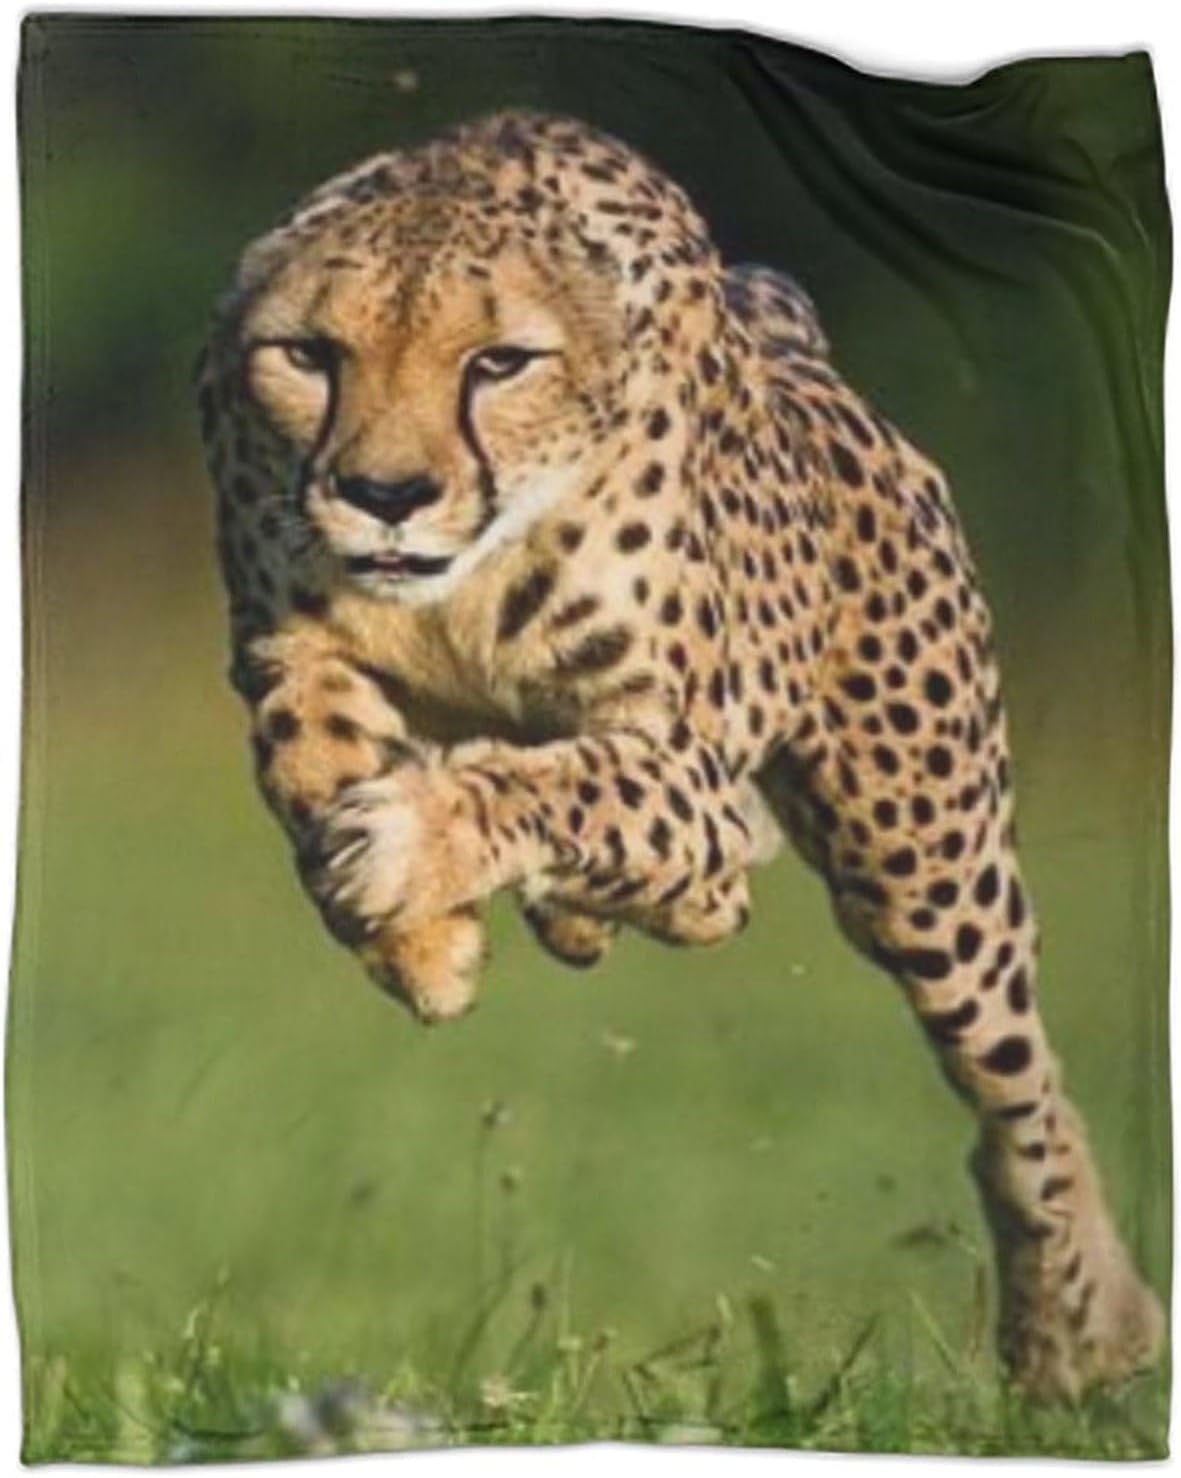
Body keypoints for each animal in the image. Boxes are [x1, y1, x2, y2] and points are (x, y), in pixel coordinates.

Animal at [195, 110, 1163, 1400]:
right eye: (308, 354)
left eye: (497, 362)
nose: (384, 492)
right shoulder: (285, 644)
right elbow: (306, 748)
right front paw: (421, 941)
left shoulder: (682, 764)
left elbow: (572, 782)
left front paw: (415, 846)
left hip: (922, 863)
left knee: (1017, 1084)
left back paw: (1077, 1328)